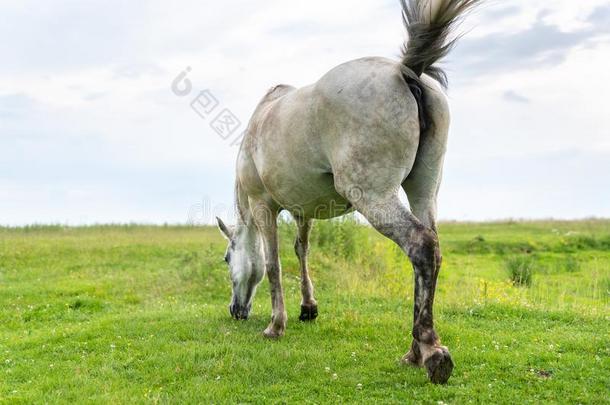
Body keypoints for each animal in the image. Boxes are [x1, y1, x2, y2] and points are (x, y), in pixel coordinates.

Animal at [215, 0, 480, 384]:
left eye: (226, 258)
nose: (235, 310)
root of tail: (405, 70)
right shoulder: (303, 210)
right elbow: (301, 251)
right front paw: (308, 308)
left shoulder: (264, 206)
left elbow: (273, 263)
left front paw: (276, 326)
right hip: (423, 191)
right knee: (431, 251)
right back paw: (413, 352)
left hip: (374, 197)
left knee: (421, 245)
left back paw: (431, 353)